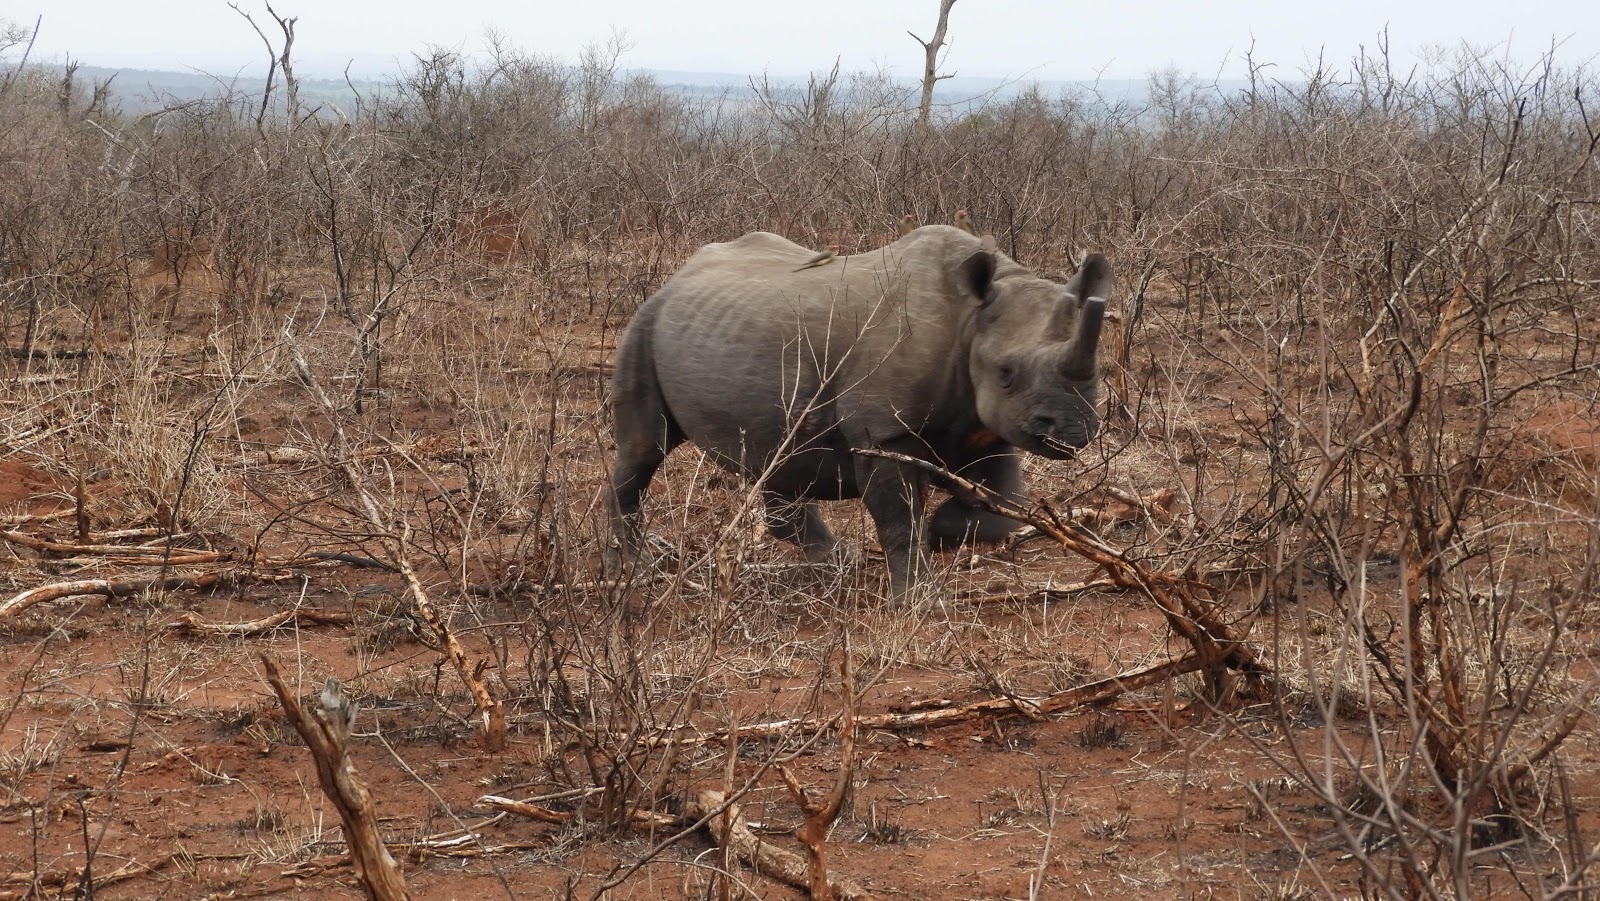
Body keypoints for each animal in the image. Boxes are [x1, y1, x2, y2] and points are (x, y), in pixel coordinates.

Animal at [601, 225, 1113, 598]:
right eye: (1006, 371)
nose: (1072, 430)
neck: (972, 317)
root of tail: (675, 277)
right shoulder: (881, 433)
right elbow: (899, 519)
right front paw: (920, 599)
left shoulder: (989, 427)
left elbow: (1008, 503)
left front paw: (944, 532)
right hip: (644, 325)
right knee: (644, 448)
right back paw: (634, 567)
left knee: (775, 451)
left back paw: (836, 561)